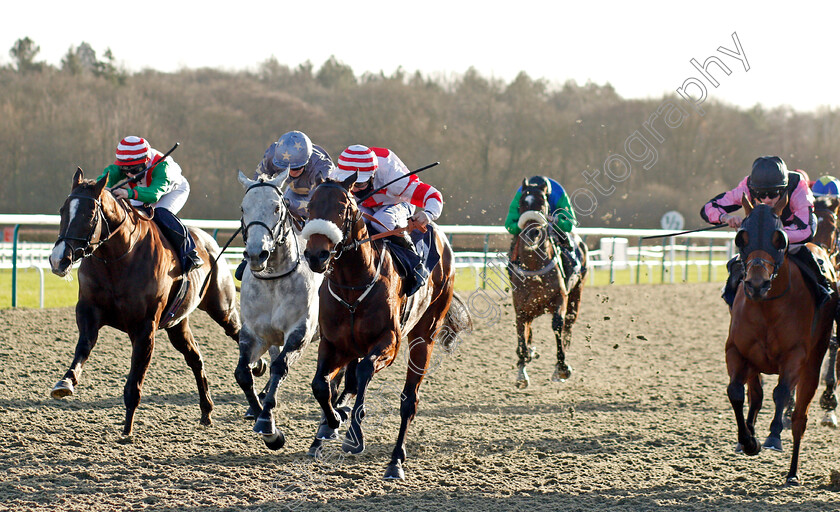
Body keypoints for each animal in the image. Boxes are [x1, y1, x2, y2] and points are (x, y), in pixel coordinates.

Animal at [48, 169, 240, 436]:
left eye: (89, 214)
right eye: (62, 210)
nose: (58, 260)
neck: (117, 258)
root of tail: (210, 243)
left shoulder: (144, 326)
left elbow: (135, 378)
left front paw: (127, 428)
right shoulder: (88, 310)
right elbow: (83, 346)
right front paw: (66, 381)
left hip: (222, 307)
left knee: (238, 332)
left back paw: (257, 369)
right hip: (177, 324)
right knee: (195, 358)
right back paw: (207, 411)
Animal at [238, 170, 326, 450]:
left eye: (277, 207)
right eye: (243, 208)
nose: (257, 254)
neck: (274, 279)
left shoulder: (300, 332)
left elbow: (280, 367)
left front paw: (268, 426)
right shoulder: (254, 333)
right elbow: (243, 374)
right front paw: (258, 410)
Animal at [300, 174, 472, 478]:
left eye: (343, 207)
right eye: (310, 206)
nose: (316, 255)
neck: (353, 286)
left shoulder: (389, 343)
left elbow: (365, 371)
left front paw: (353, 436)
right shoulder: (334, 344)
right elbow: (321, 384)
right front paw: (331, 422)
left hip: (424, 336)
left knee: (409, 400)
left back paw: (395, 461)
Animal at [508, 179, 588, 388]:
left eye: (543, 204)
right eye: (521, 204)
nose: (532, 234)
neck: (534, 266)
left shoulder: (560, 298)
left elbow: (557, 325)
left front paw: (562, 367)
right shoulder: (520, 308)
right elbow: (521, 335)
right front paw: (522, 370)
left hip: (577, 292)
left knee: (568, 325)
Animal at [724, 194, 836, 486]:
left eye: (780, 238)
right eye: (742, 237)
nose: (757, 284)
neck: (767, 307)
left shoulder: (796, 355)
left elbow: (782, 393)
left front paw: (773, 436)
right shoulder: (737, 351)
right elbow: (736, 392)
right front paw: (748, 441)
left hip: (812, 365)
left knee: (800, 419)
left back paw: (793, 472)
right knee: (756, 395)